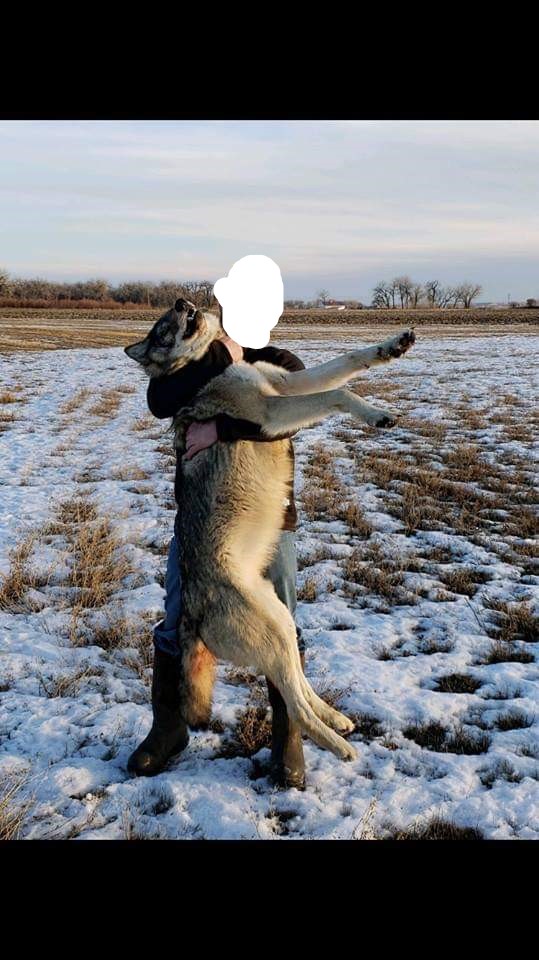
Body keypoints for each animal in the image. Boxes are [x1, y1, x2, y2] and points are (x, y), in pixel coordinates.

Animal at [125, 300, 415, 763]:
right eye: (163, 329)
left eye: (169, 318)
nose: (183, 303)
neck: (215, 364)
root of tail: (193, 617)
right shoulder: (270, 412)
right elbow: (336, 394)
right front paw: (376, 414)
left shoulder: (287, 384)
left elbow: (348, 362)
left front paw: (393, 347)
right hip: (273, 633)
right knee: (294, 705)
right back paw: (338, 747)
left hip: (280, 624)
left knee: (295, 687)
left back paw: (336, 720)